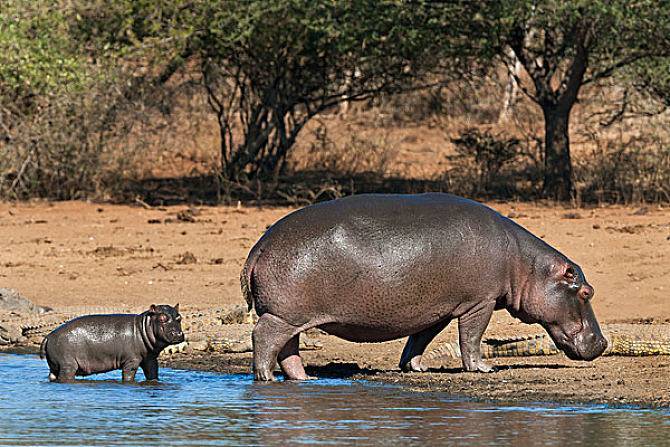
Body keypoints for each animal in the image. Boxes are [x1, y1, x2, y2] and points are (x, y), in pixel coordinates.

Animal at [40, 306, 185, 384]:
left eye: (180, 317)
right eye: (162, 318)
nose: (178, 333)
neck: (143, 327)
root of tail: (48, 336)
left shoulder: (150, 358)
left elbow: (153, 372)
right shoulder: (131, 361)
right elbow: (129, 374)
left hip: (55, 366)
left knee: (52, 376)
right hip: (68, 365)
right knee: (65, 375)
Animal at [243, 193, 608, 382]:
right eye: (586, 292)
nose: (603, 342)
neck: (525, 265)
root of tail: (258, 246)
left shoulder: (437, 309)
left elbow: (419, 338)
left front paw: (416, 368)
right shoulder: (480, 302)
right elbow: (471, 337)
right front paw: (482, 369)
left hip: (291, 316)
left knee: (288, 349)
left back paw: (305, 380)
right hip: (283, 315)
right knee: (264, 339)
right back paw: (267, 378)